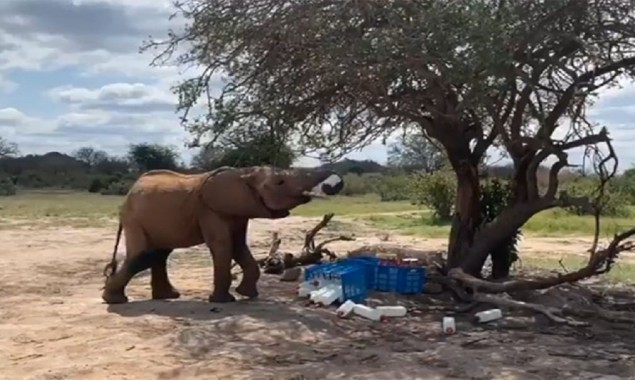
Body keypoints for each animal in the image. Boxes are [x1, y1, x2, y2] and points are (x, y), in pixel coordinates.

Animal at [101, 166, 346, 306]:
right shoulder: (210, 209)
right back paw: (115, 301)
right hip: (135, 219)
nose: (335, 182)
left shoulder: (238, 211)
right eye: (280, 182)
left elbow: (238, 245)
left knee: (159, 254)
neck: (243, 173)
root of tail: (130, 191)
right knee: (142, 254)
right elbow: (223, 244)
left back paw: (168, 296)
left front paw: (247, 294)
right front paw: (224, 301)